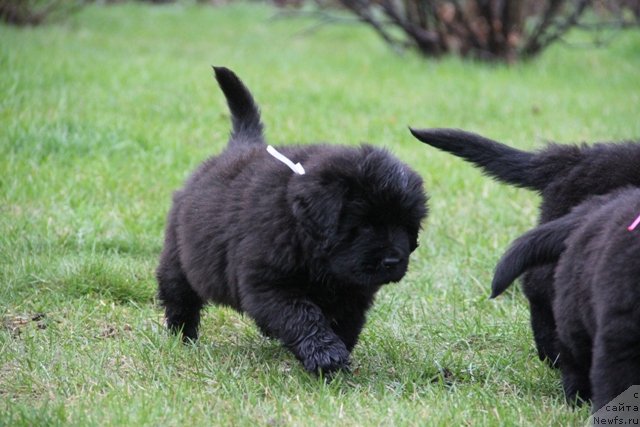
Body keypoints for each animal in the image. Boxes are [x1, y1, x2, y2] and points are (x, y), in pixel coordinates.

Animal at [156, 67, 428, 374]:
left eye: (405, 227)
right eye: (365, 225)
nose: (392, 261)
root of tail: (239, 145)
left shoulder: (354, 293)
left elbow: (345, 322)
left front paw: (337, 353)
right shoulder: (269, 283)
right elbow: (302, 315)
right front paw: (325, 355)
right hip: (178, 257)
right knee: (179, 295)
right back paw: (182, 336)